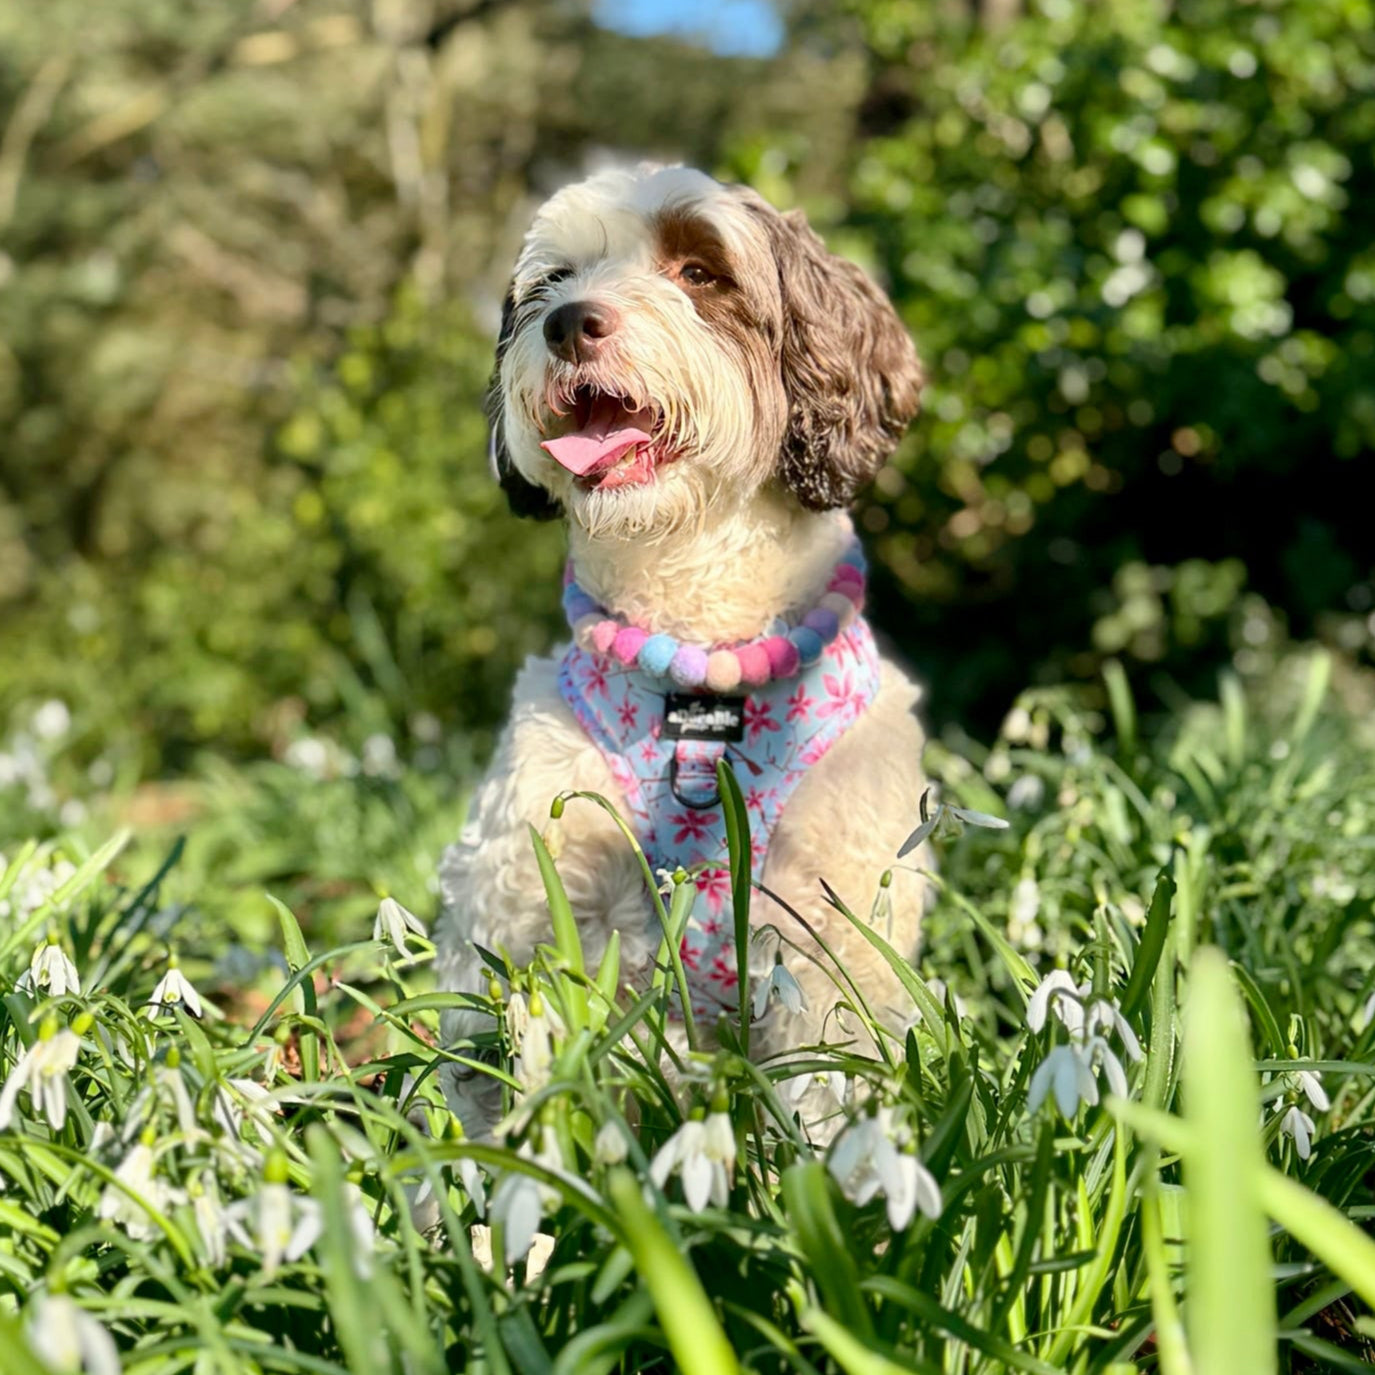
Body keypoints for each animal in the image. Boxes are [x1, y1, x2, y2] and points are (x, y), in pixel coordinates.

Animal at [437, 163, 935, 1127]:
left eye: (701, 272)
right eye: (553, 281)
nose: (567, 322)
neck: (699, 656)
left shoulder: (836, 918)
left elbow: (829, 1076)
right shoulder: (532, 889)